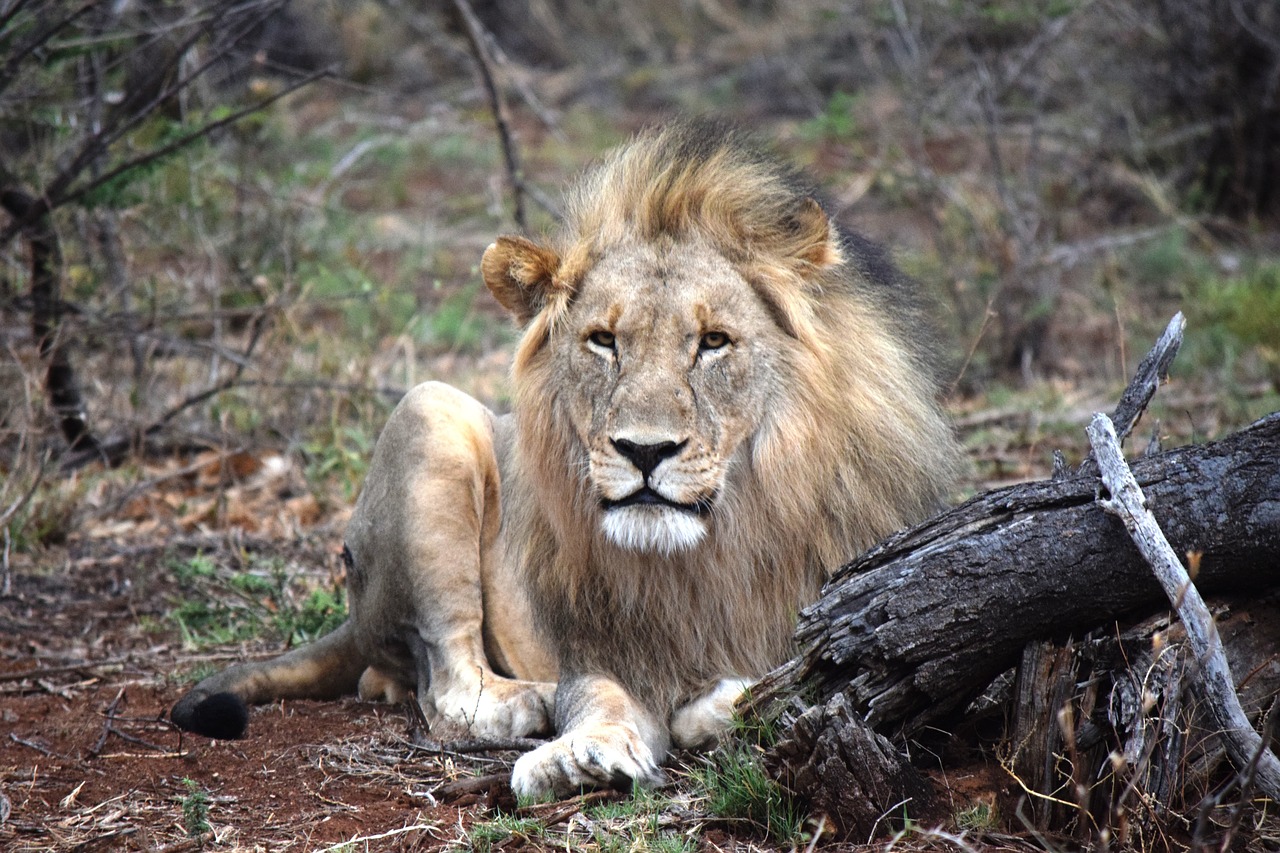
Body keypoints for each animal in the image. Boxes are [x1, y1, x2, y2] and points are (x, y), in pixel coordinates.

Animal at [170, 121, 962, 799]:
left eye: (713, 341)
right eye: (603, 340)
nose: (645, 450)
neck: (718, 545)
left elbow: (791, 673)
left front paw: (722, 702)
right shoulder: (601, 642)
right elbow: (600, 691)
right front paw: (585, 752)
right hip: (429, 412)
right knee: (448, 688)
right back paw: (536, 703)